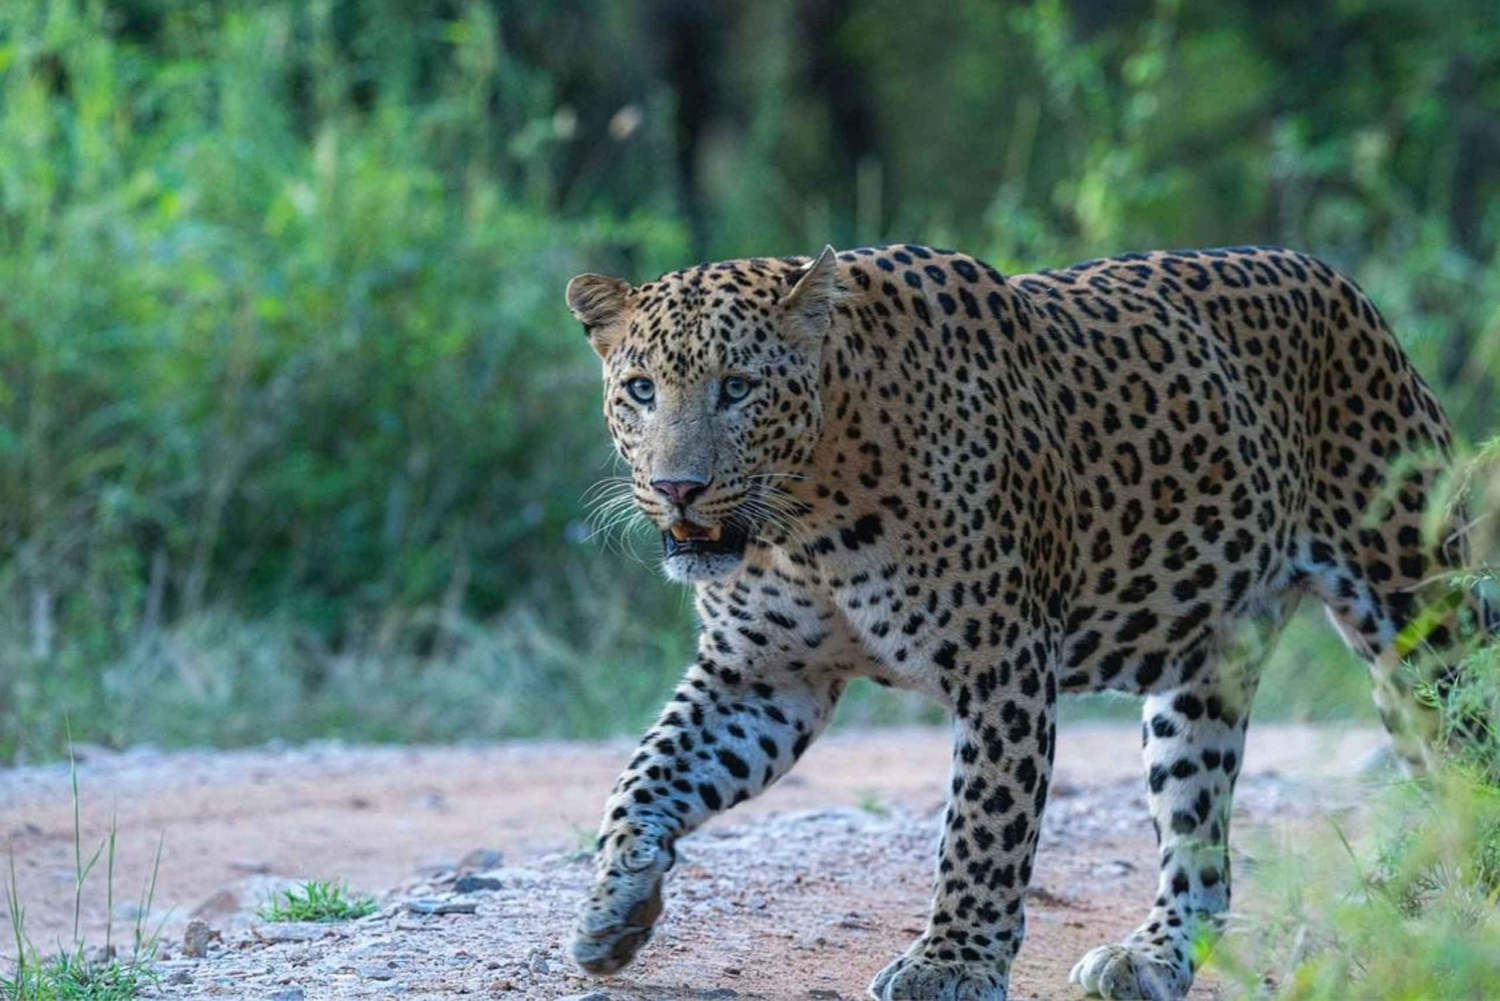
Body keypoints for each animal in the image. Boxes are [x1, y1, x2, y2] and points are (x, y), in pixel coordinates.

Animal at [562, 243, 1492, 1000]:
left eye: (738, 388)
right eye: (641, 390)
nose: (678, 487)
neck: (807, 520)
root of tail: (1344, 286)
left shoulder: (1001, 662)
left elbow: (983, 824)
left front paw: (952, 962)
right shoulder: (761, 675)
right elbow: (646, 772)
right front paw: (614, 902)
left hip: (1420, 620)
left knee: (1469, 763)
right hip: (1202, 674)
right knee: (1201, 844)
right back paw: (1150, 956)